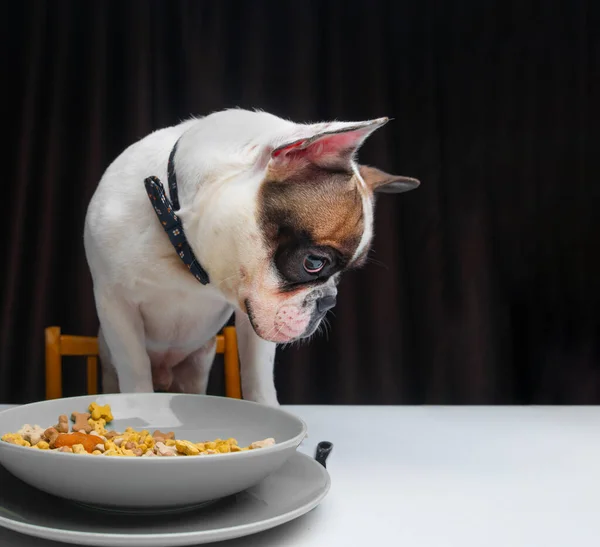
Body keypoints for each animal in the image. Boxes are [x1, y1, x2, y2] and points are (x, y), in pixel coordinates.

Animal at [83, 108, 418, 406]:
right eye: (313, 263)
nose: (328, 301)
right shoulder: (116, 306)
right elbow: (136, 370)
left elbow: (258, 376)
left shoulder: (251, 314)